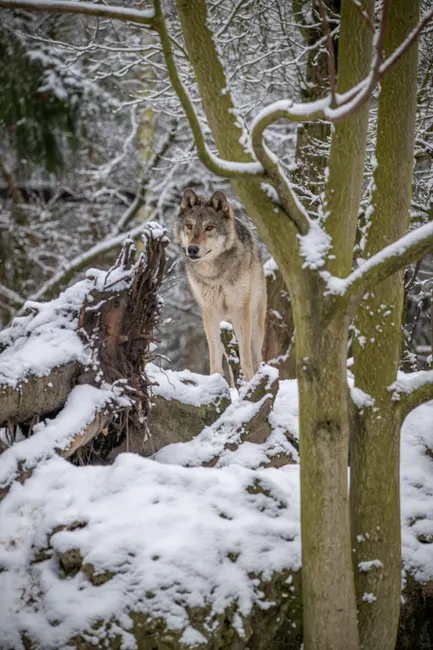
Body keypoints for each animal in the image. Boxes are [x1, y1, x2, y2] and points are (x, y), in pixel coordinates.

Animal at [173, 188, 267, 382]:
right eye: (189, 226)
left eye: (209, 227)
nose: (192, 249)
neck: (214, 274)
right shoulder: (210, 312)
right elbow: (215, 357)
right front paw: (215, 382)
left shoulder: (240, 310)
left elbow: (245, 359)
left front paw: (249, 382)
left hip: (255, 321)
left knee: (256, 356)